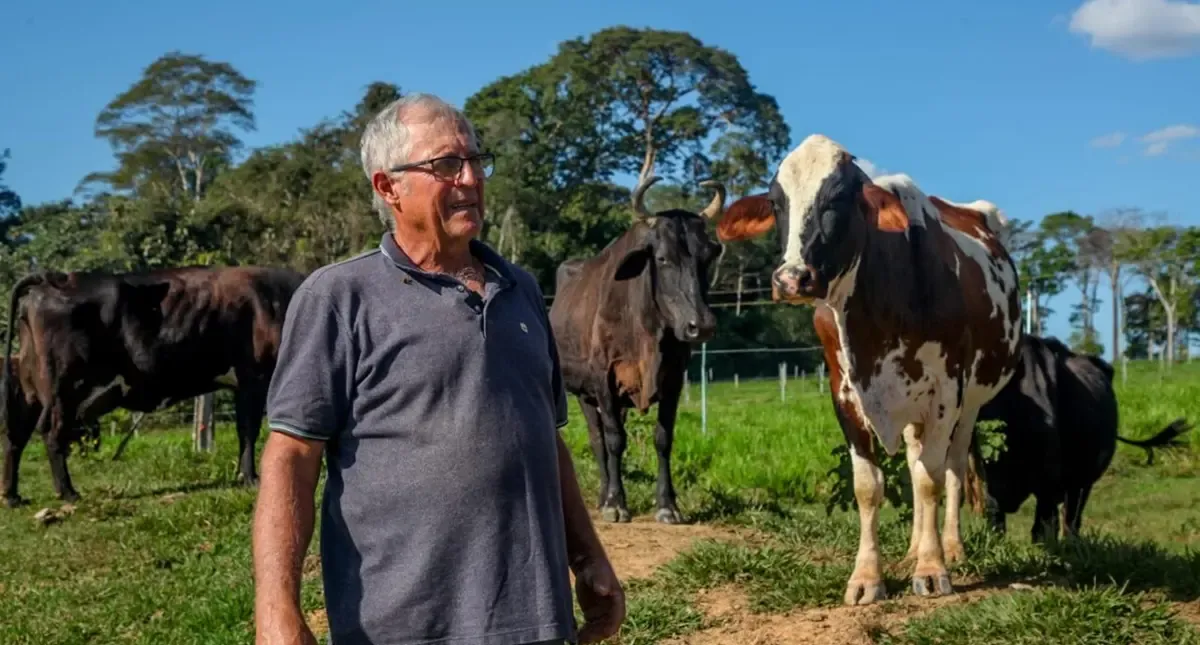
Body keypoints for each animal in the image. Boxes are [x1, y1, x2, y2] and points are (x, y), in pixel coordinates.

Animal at [0, 265, 306, 507]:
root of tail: (53, 278)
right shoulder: (254, 378)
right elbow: (249, 431)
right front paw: (250, 477)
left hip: (32, 390)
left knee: (16, 437)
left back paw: (13, 496)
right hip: (64, 386)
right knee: (51, 433)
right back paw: (67, 492)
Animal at [549, 175, 726, 525]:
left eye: (706, 257)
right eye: (663, 258)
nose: (701, 325)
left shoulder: (673, 380)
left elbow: (663, 439)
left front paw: (667, 505)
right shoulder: (603, 379)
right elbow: (615, 441)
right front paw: (617, 503)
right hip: (584, 393)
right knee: (598, 440)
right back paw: (605, 497)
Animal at [715, 133, 1023, 605]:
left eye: (839, 198)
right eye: (776, 201)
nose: (791, 279)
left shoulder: (945, 391)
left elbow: (931, 479)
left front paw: (933, 568)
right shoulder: (844, 392)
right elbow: (869, 486)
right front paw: (867, 576)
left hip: (970, 402)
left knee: (950, 467)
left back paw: (950, 546)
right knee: (915, 460)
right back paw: (914, 546)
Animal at [966, 334, 1191, 542]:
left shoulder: (1049, 482)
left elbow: (1042, 528)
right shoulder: (991, 484)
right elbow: (996, 521)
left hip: (1084, 480)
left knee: (1072, 516)